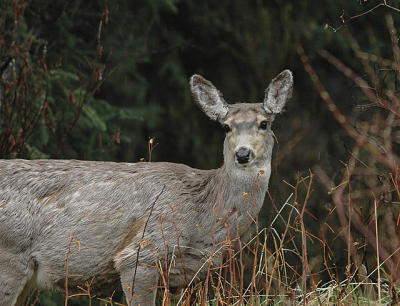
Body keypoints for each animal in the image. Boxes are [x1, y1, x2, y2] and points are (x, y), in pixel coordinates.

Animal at [0, 70, 292, 306]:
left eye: (264, 123)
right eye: (226, 127)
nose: (243, 153)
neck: (203, 214)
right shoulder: (142, 255)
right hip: (9, 255)